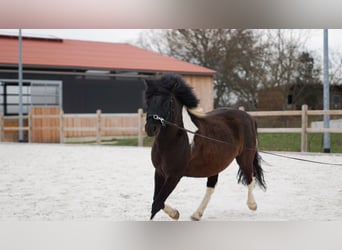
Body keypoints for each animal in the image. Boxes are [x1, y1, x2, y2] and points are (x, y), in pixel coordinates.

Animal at [144, 73, 268, 220]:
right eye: (147, 101)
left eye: (167, 102)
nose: (151, 128)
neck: (173, 140)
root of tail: (249, 117)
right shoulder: (159, 172)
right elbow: (156, 201)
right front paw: (175, 214)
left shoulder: (174, 175)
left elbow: (157, 204)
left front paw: (175, 214)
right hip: (215, 163)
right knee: (211, 186)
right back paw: (197, 214)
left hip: (244, 157)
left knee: (250, 177)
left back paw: (252, 205)